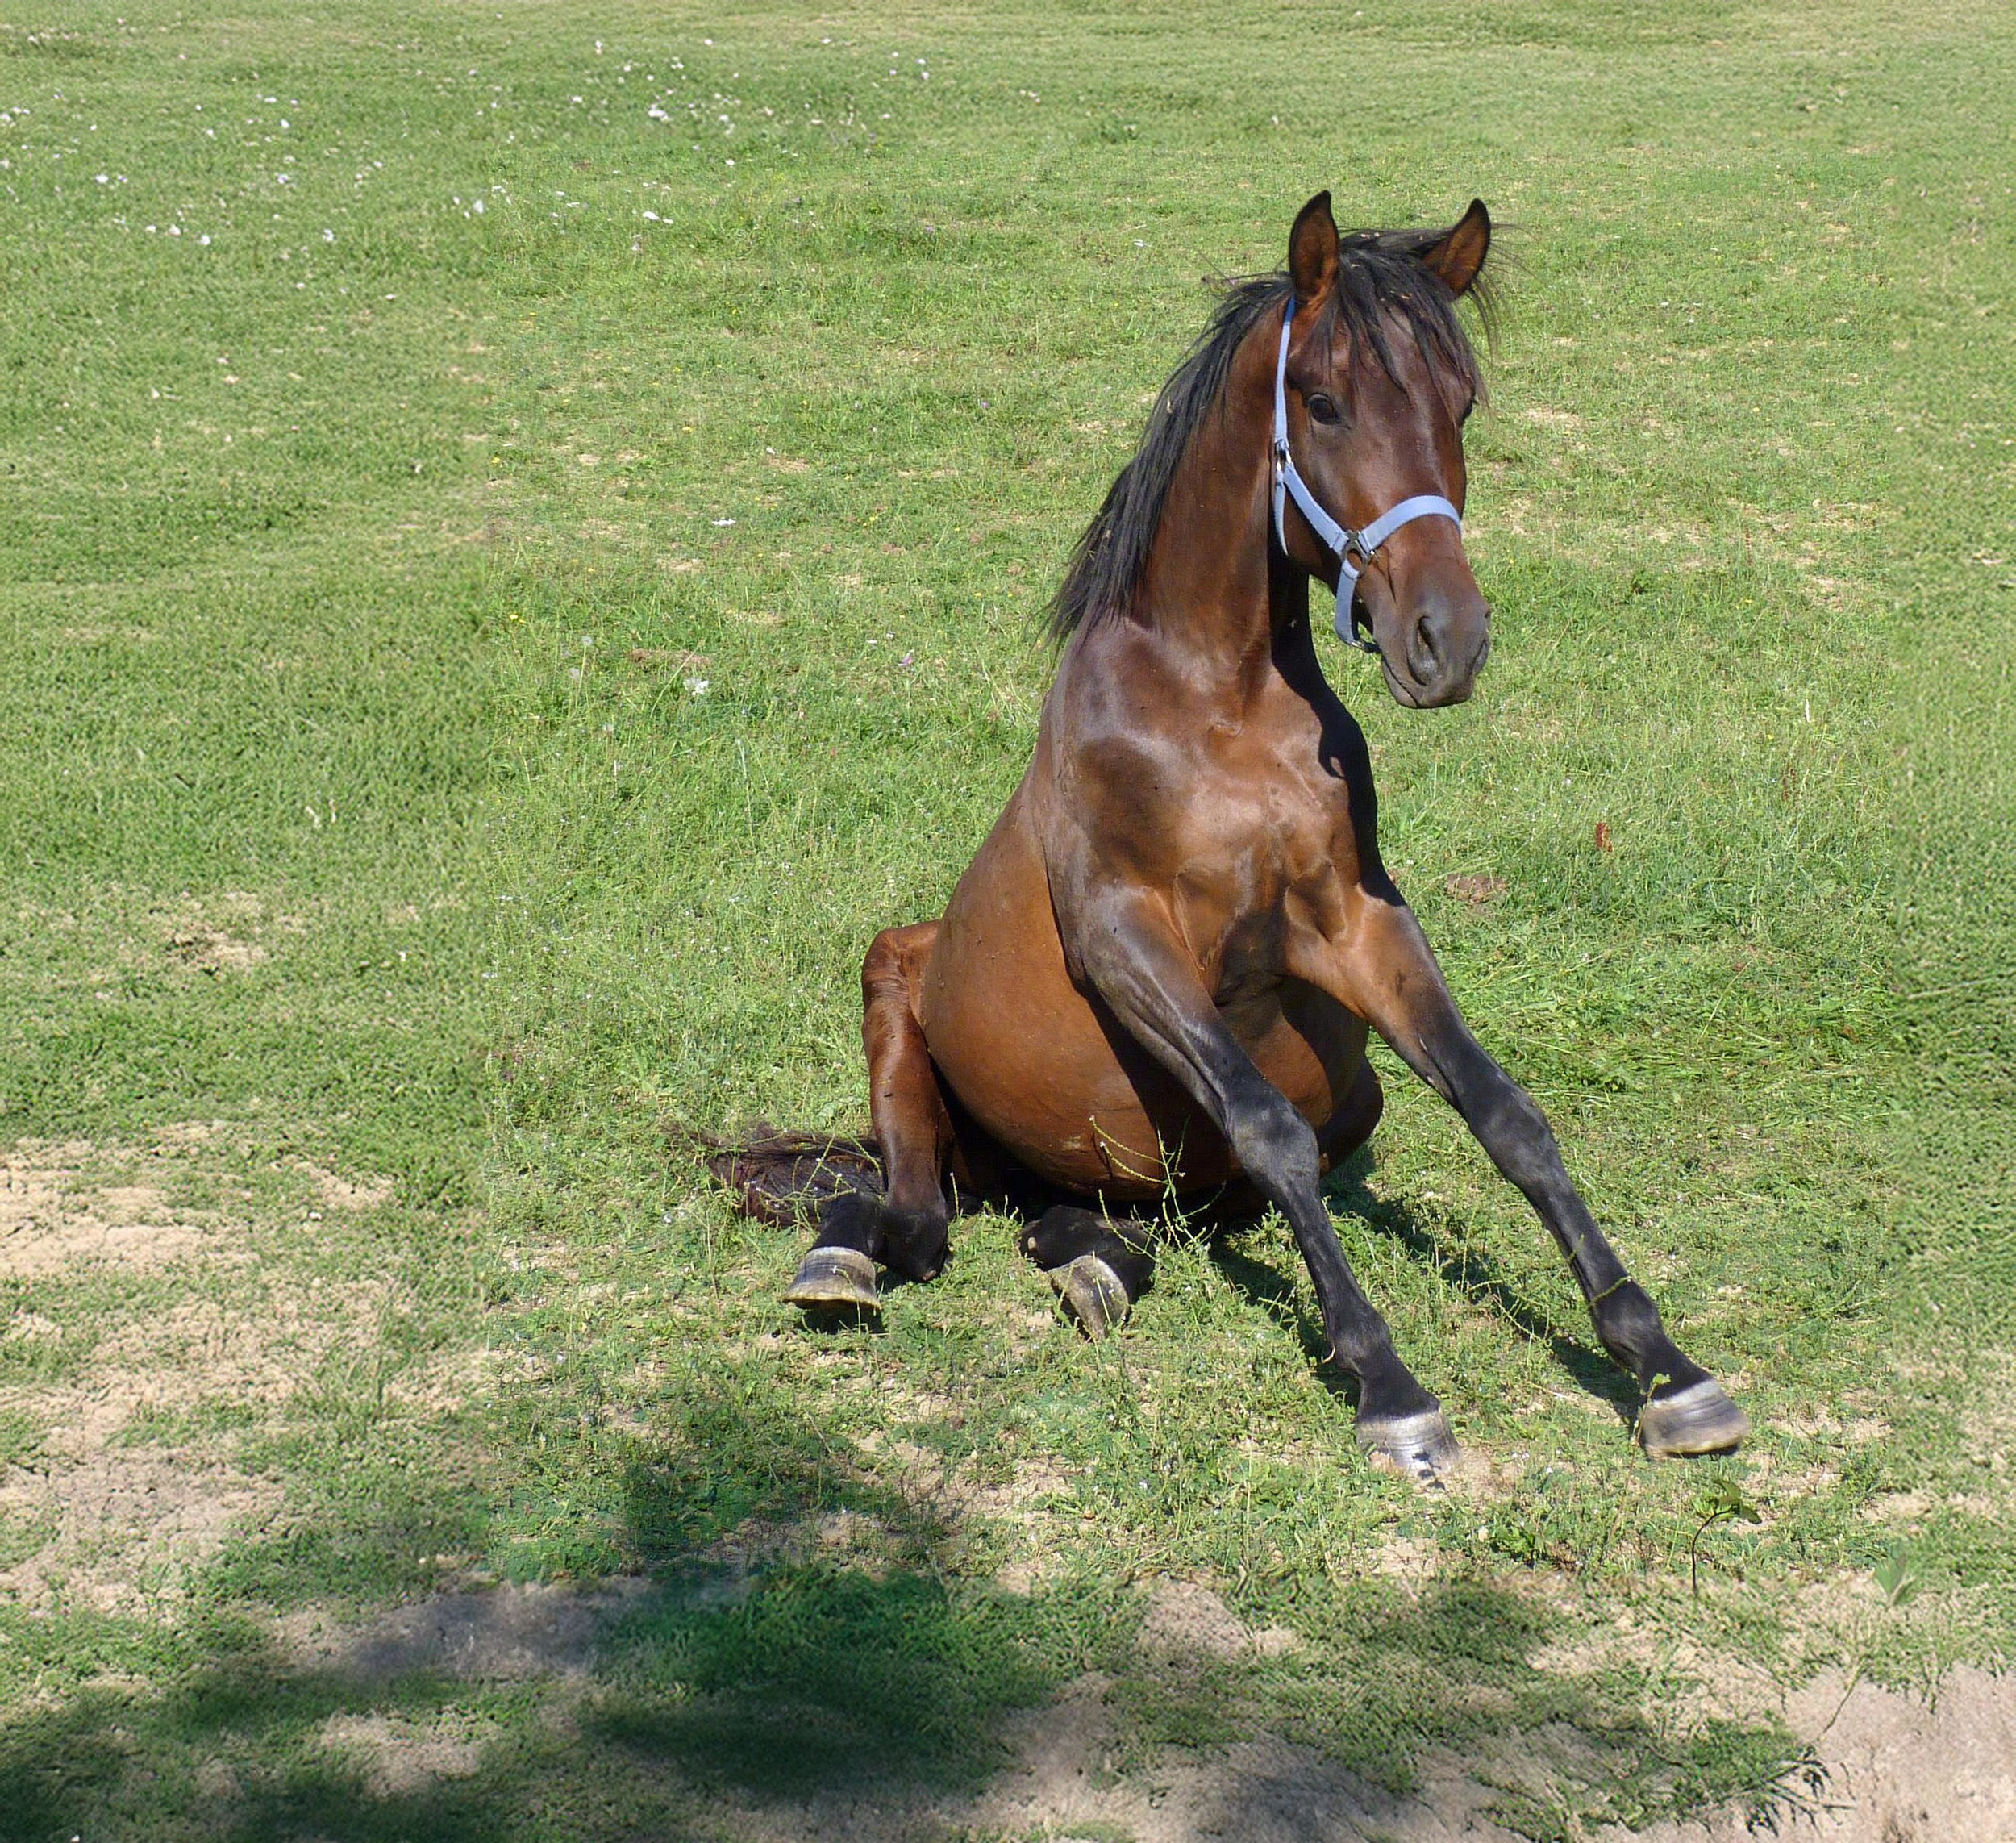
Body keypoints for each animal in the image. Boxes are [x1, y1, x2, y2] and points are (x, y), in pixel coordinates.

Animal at [751, 191, 1748, 1484]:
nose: (1448, 640)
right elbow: (1269, 1127)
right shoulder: (1124, 940)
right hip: (896, 986)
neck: (1216, 707)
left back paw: (1091, 1261)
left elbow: (1507, 1115)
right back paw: (845, 1254)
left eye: (1461, 401)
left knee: (1113, 1219)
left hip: (1283, 1115)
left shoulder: (1355, 923)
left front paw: (1664, 1365)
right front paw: (1390, 1387)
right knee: (918, 1218)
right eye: (1321, 400)